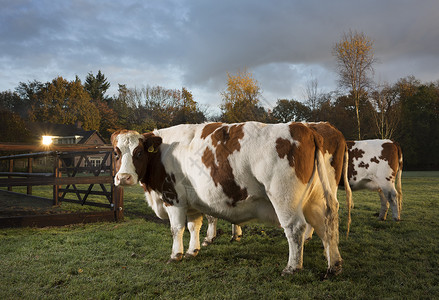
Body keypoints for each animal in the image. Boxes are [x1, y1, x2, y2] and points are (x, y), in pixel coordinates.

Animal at [111, 122, 346, 276]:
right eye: (116, 153)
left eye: (139, 152)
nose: (124, 177)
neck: (162, 152)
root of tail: (305, 128)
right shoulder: (191, 202)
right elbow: (193, 226)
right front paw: (192, 250)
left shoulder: (173, 198)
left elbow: (176, 228)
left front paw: (175, 254)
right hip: (317, 198)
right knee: (326, 222)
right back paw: (333, 263)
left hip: (284, 197)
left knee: (296, 228)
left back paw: (292, 267)